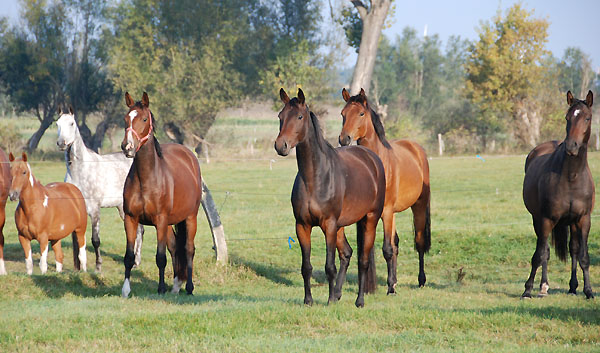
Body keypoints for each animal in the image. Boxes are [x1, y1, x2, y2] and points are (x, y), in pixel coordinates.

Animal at [56, 106, 145, 270]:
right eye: (57, 123)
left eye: (72, 123)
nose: (61, 143)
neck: (80, 171)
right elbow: (77, 240)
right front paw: (79, 268)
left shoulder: (94, 210)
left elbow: (95, 240)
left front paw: (98, 266)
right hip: (122, 208)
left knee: (139, 231)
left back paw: (136, 262)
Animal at [120, 92, 204, 296]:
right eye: (126, 118)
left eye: (144, 119)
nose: (127, 147)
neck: (146, 179)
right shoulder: (131, 219)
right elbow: (129, 256)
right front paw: (125, 290)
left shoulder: (160, 220)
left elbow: (160, 257)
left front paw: (160, 289)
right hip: (169, 223)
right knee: (174, 248)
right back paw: (176, 285)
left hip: (190, 217)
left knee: (188, 249)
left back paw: (188, 287)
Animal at [276, 88, 384, 306]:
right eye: (280, 116)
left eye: (299, 117)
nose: (280, 145)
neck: (315, 178)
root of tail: (372, 158)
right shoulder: (302, 225)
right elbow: (306, 267)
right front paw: (309, 300)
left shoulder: (329, 224)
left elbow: (329, 266)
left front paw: (329, 299)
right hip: (342, 226)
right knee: (347, 253)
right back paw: (338, 293)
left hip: (370, 219)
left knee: (363, 261)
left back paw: (359, 300)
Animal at [338, 88, 432, 292]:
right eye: (342, 114)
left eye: (361, 113)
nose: (344, 139)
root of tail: (416, 148)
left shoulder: (386, 212)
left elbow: (387, 249)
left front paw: (390, 288)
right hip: (394, 213)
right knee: (396, 243)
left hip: (418, 206)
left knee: (419, 242)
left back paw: (421, 280)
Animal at [520, 90, 596, 296]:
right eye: (567, 117)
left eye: (587, 118)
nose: (571, 146)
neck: (571, 176)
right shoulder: (546, 219)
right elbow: (540, 254)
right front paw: (528, 290)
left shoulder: (583, 219)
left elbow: (583, 256)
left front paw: (588, 291)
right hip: (537, 219)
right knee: (544, 249)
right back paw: (543, 285)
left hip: (571, 223)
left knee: (573, 249)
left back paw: (572, 287)